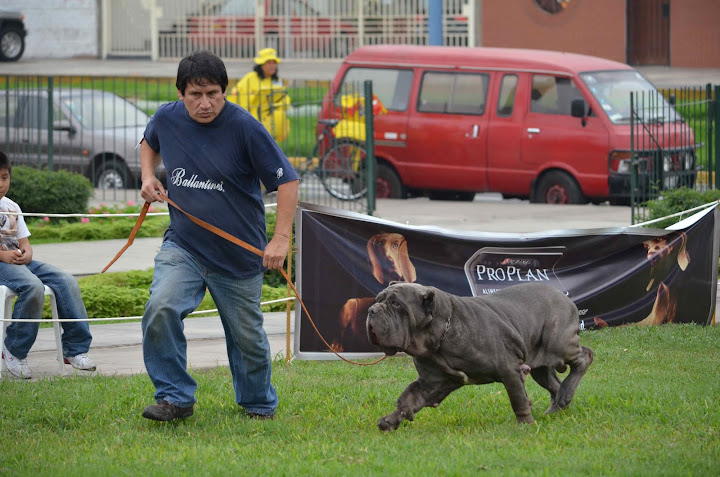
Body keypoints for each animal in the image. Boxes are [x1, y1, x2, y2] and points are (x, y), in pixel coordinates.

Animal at [368, 280, 592, 430]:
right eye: (378, 300)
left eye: (396, 304)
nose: (372, 309)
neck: (437, 337)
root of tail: (564, 296)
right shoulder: (429, 382)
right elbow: (407, 398)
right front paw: (390, 420)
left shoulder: (509, 369)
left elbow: (518, 398)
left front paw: (526, 424)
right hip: (540, 364)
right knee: (555, 385)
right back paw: (559, 403)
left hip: (559, 344)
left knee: (585, 356)